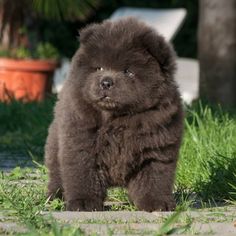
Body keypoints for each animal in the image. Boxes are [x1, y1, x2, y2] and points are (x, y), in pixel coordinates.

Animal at [44, 17, 184, 211]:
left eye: (127, 71)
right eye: (99, 68)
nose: (106, 82)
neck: (118, 118)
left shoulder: (156, 149)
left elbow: (154, 179)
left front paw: (157, 204)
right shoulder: (81, 143)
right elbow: (82, 176)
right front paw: (83, 203)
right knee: (57, 174)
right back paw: (55, 197)